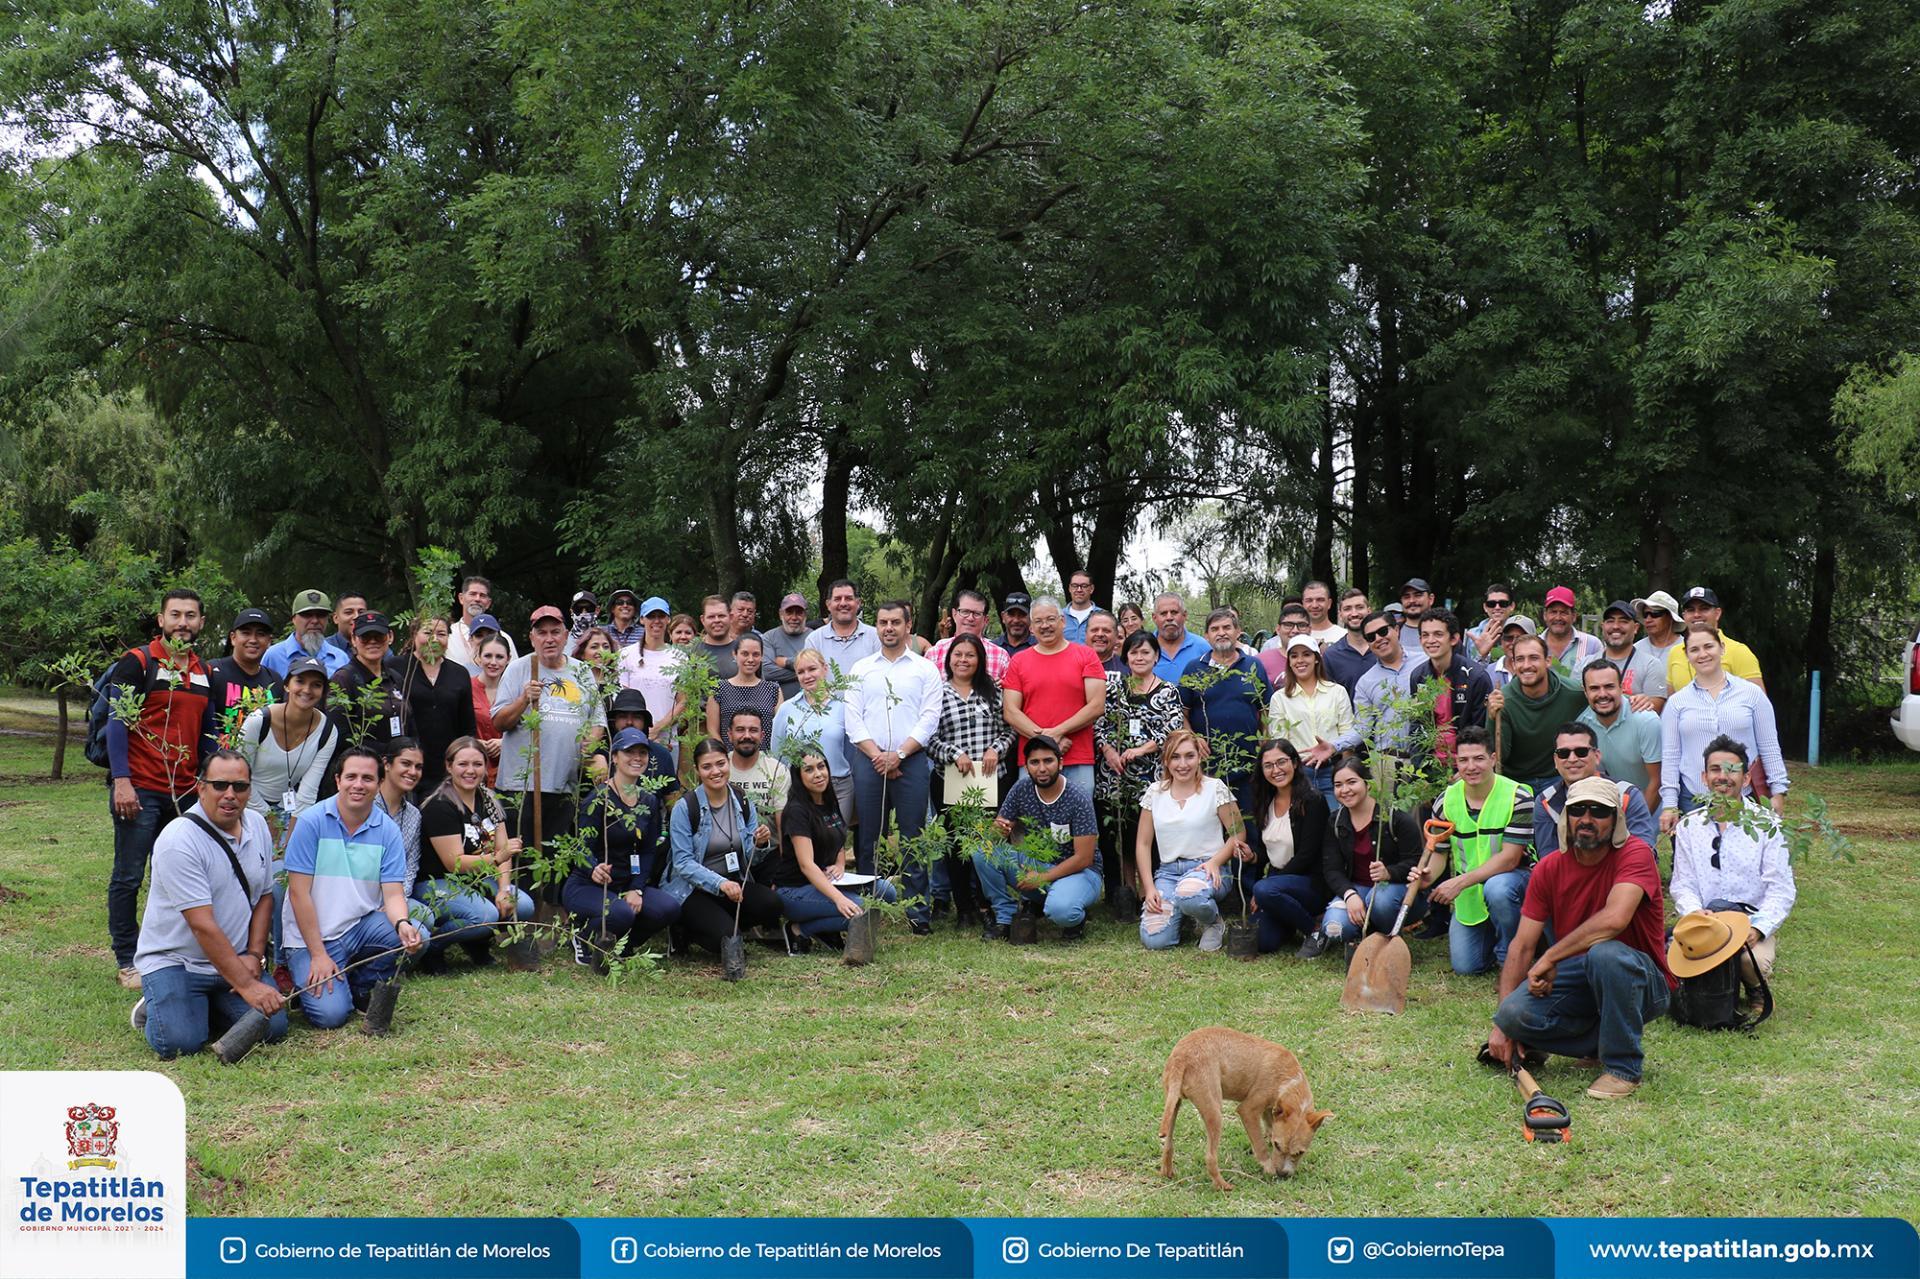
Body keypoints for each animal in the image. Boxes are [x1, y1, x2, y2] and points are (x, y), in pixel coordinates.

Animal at [1152, 1021, 1336, 1190]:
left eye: (1300, 1153)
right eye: (1277, 1145)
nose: (1282, 1174)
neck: (1289, 1079)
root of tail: (1181, 1058)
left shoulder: (1269, 1109)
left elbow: (1269, 1126)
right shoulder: (1248, 1110)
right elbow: (1260, 1145)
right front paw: (1268, 1167)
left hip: (1173, 1105)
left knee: (1168, 1145)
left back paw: (1167, 1172)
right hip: (1215, 1113)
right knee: (1210, 1157)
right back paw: (1223, 1185)